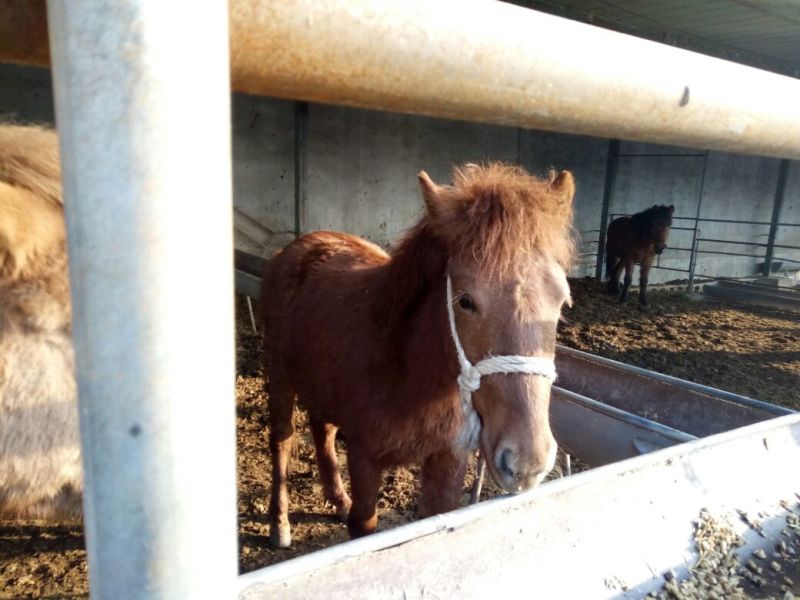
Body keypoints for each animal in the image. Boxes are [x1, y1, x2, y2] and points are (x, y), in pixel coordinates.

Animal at [261, 162, 576, 547]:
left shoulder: (448, 463)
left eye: (562, 301)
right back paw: (279, 524)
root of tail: (295, 248)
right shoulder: (365, 459)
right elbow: (363, 524)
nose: (526, 462)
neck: (405, 370)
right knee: (282, 440)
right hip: (279, 378)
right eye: (465, 300)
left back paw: (338, 500)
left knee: (323, 430)